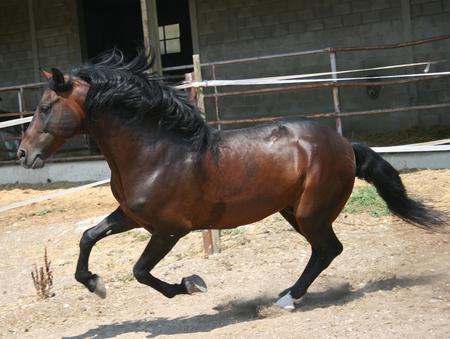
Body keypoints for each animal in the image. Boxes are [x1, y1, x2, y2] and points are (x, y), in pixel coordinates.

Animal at [16, 50, 442, 310]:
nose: (22, 154)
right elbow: (88, 237)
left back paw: (286, 300)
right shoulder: (132, 217)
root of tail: (345, 145)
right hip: (294, 211)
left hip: (311, 212)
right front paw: (95, 284)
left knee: (327, 250)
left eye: (45, 107)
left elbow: (140, 271)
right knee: (325, 251)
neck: (156, 152)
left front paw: (191, 284)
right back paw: (286, 294)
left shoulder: (170, 230)